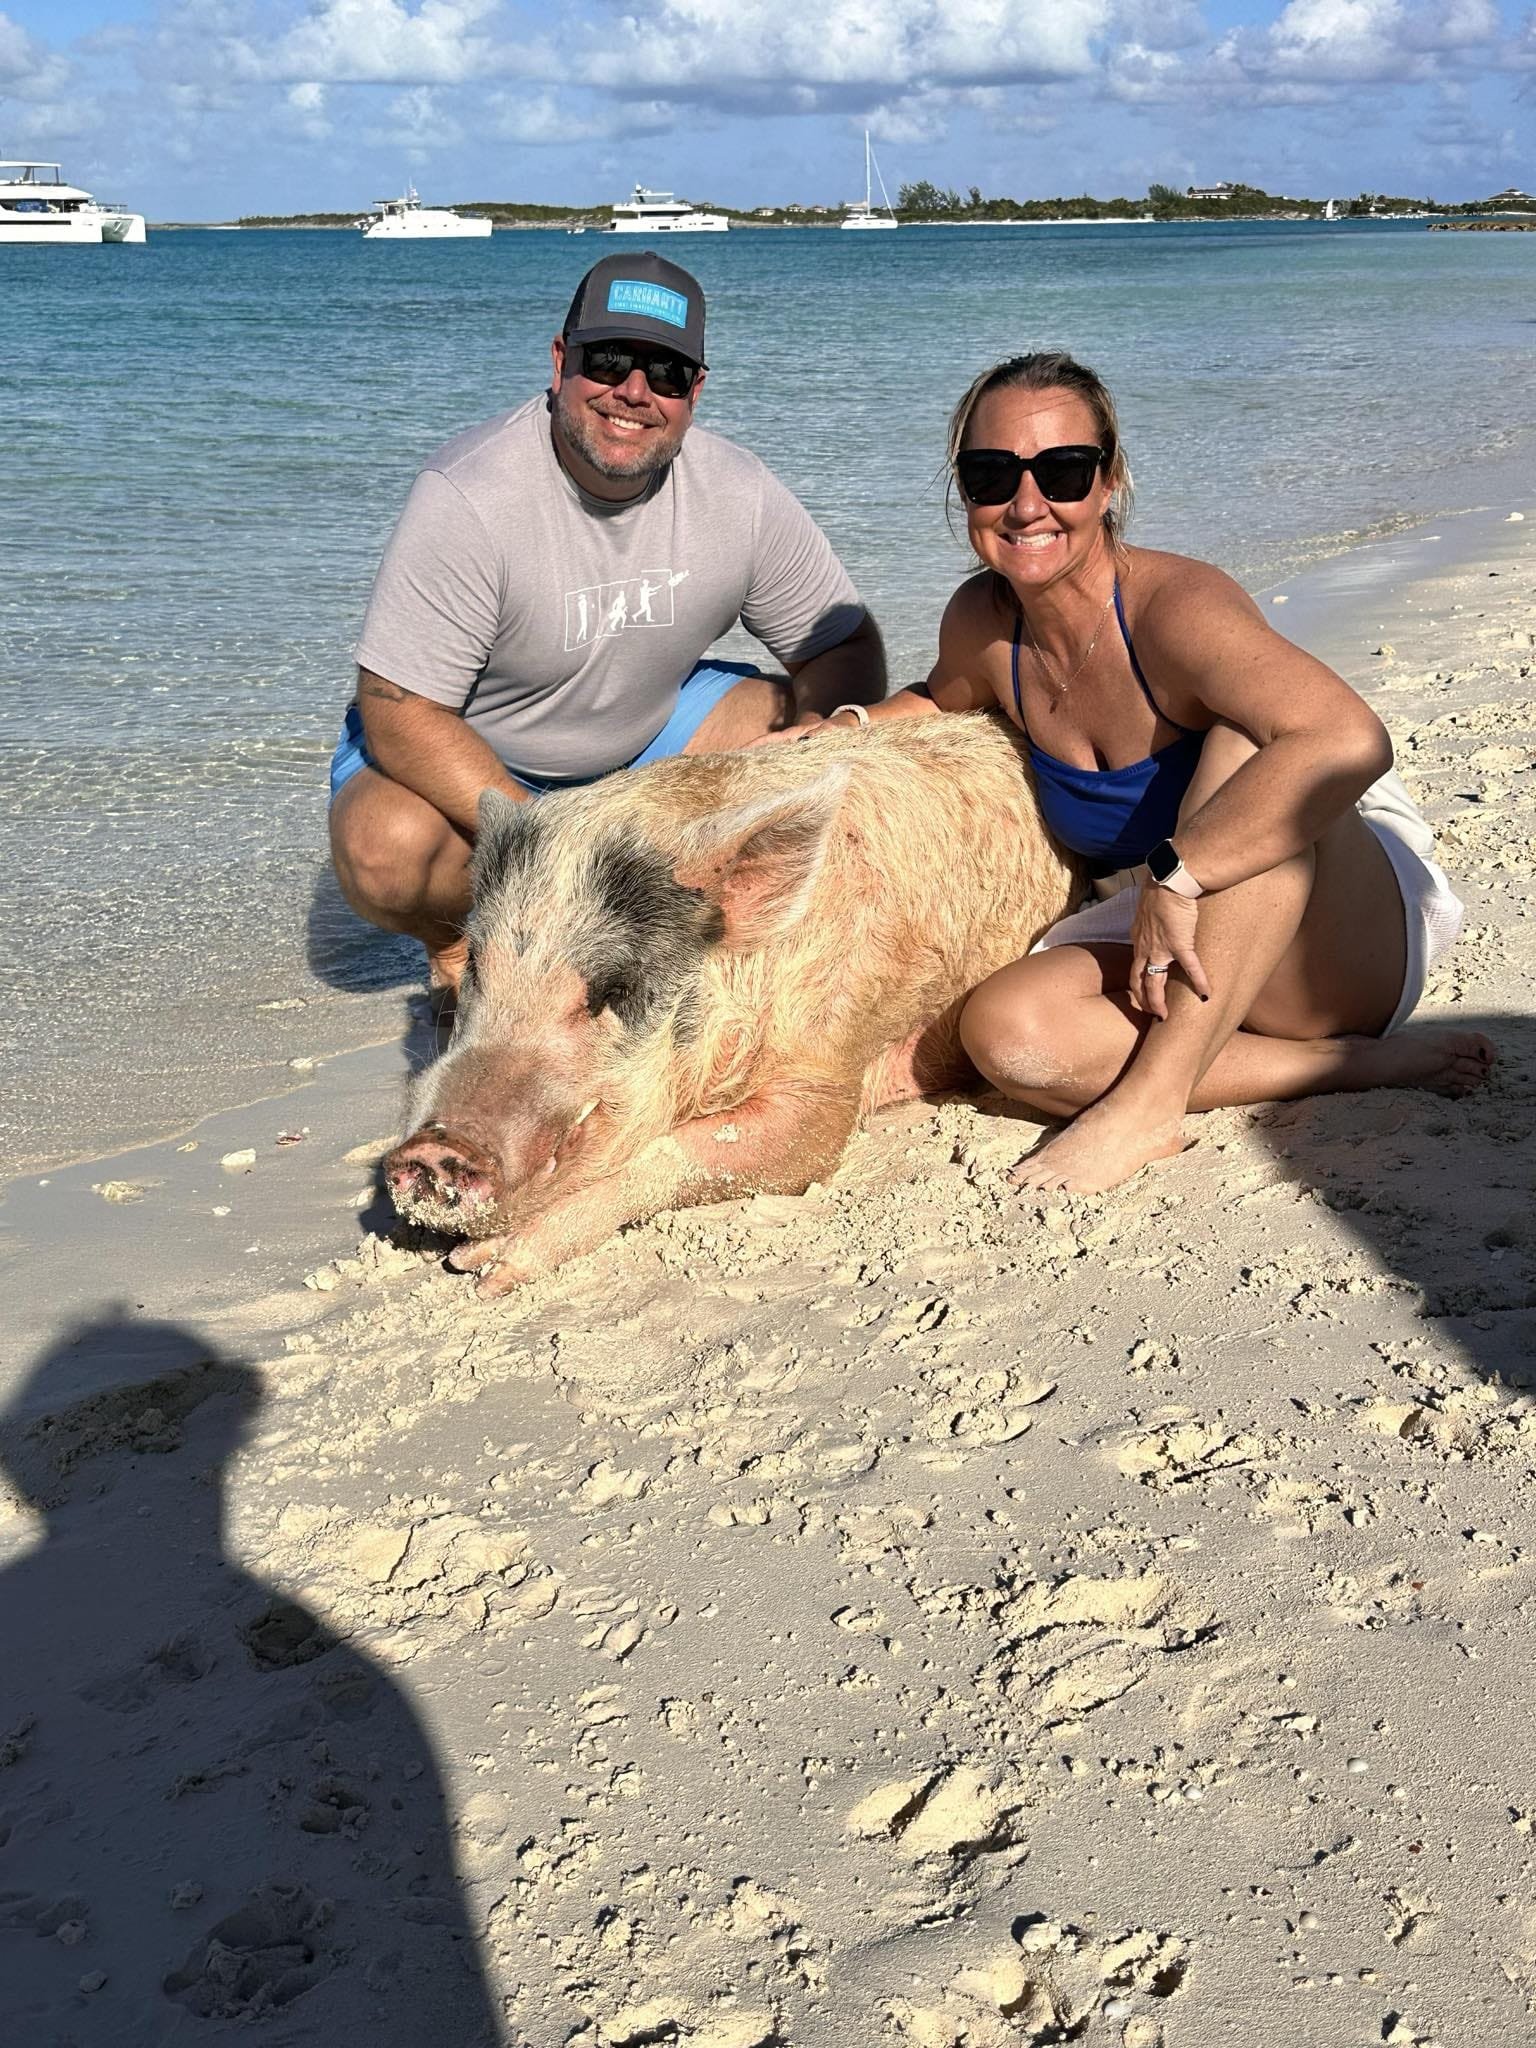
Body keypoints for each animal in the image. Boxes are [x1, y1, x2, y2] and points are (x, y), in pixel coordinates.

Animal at [384, 711, 1082, 1297]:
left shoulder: (827, 1068)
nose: (433, 1149)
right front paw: (466, 1262)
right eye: (478, 966)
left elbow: (729, 1149)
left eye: (612, 991)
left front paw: (486, 1272)